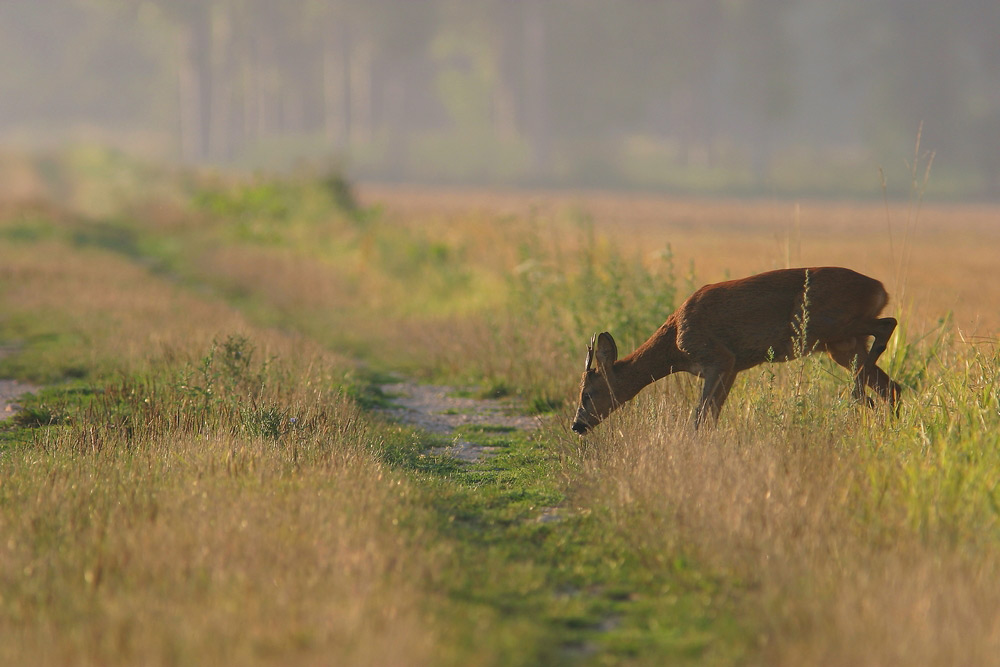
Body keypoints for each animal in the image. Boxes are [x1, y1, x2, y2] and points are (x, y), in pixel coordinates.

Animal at [572, 266, 908, 434]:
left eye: (587, 393)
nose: (577, 425)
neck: (675, 342)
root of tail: (880, 288)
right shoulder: (731, 367)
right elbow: (712, 415)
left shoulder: (718, 357)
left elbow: (700, 415)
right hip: (841, 345)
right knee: (892, 385)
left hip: (829, 326)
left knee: (888, 325)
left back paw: (858, 396)